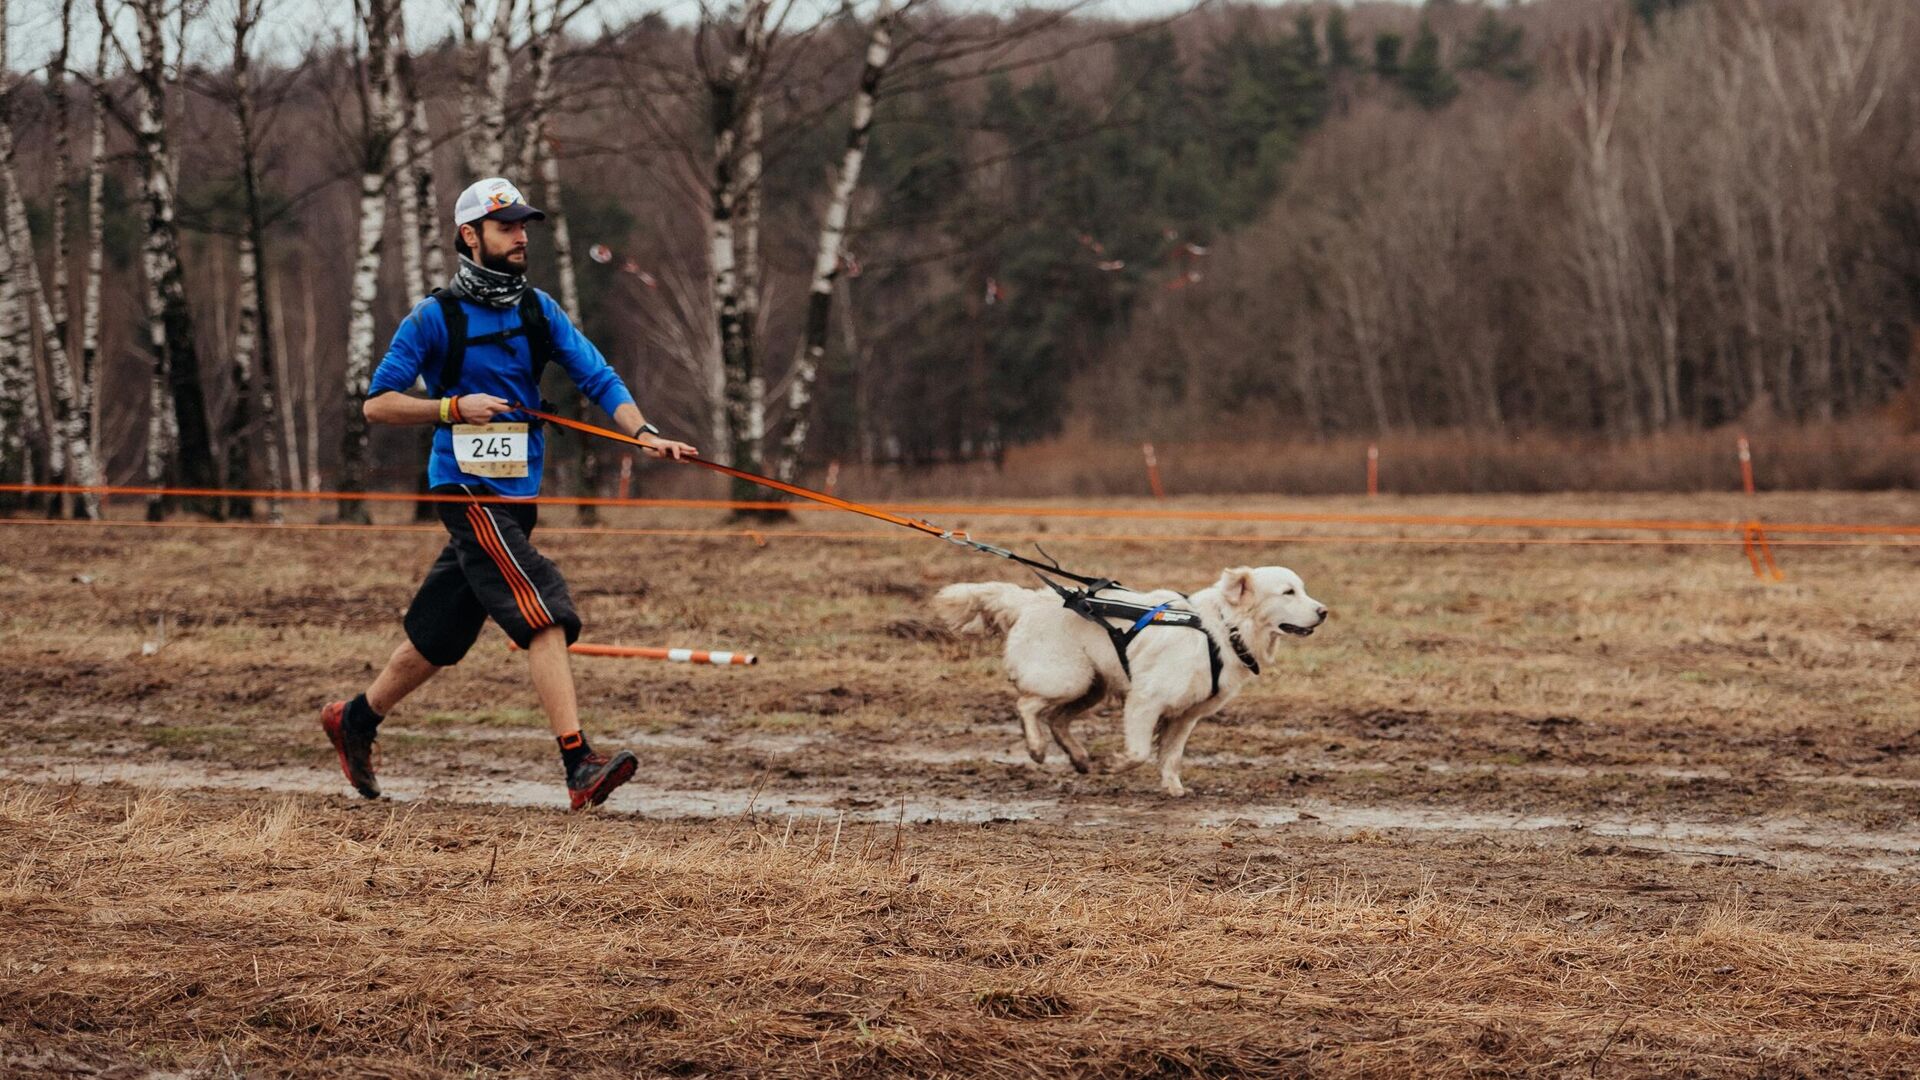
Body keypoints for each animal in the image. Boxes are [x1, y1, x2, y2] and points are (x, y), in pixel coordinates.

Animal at [936, 564, 1328, 791]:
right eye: (1288, 592)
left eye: (1303, 589)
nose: (1323, 611)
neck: (1221, 629)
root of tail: (1029, 600)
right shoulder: (1146, 700)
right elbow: (1139, 752)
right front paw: (1118, 764)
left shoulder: (1187, 715)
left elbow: (1171, 756)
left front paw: (1174, 789)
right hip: (1069, 678)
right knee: (1027, 705)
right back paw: (1036, 747)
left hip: (1091, 686)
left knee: (1057, 719)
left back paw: (1078, 756)